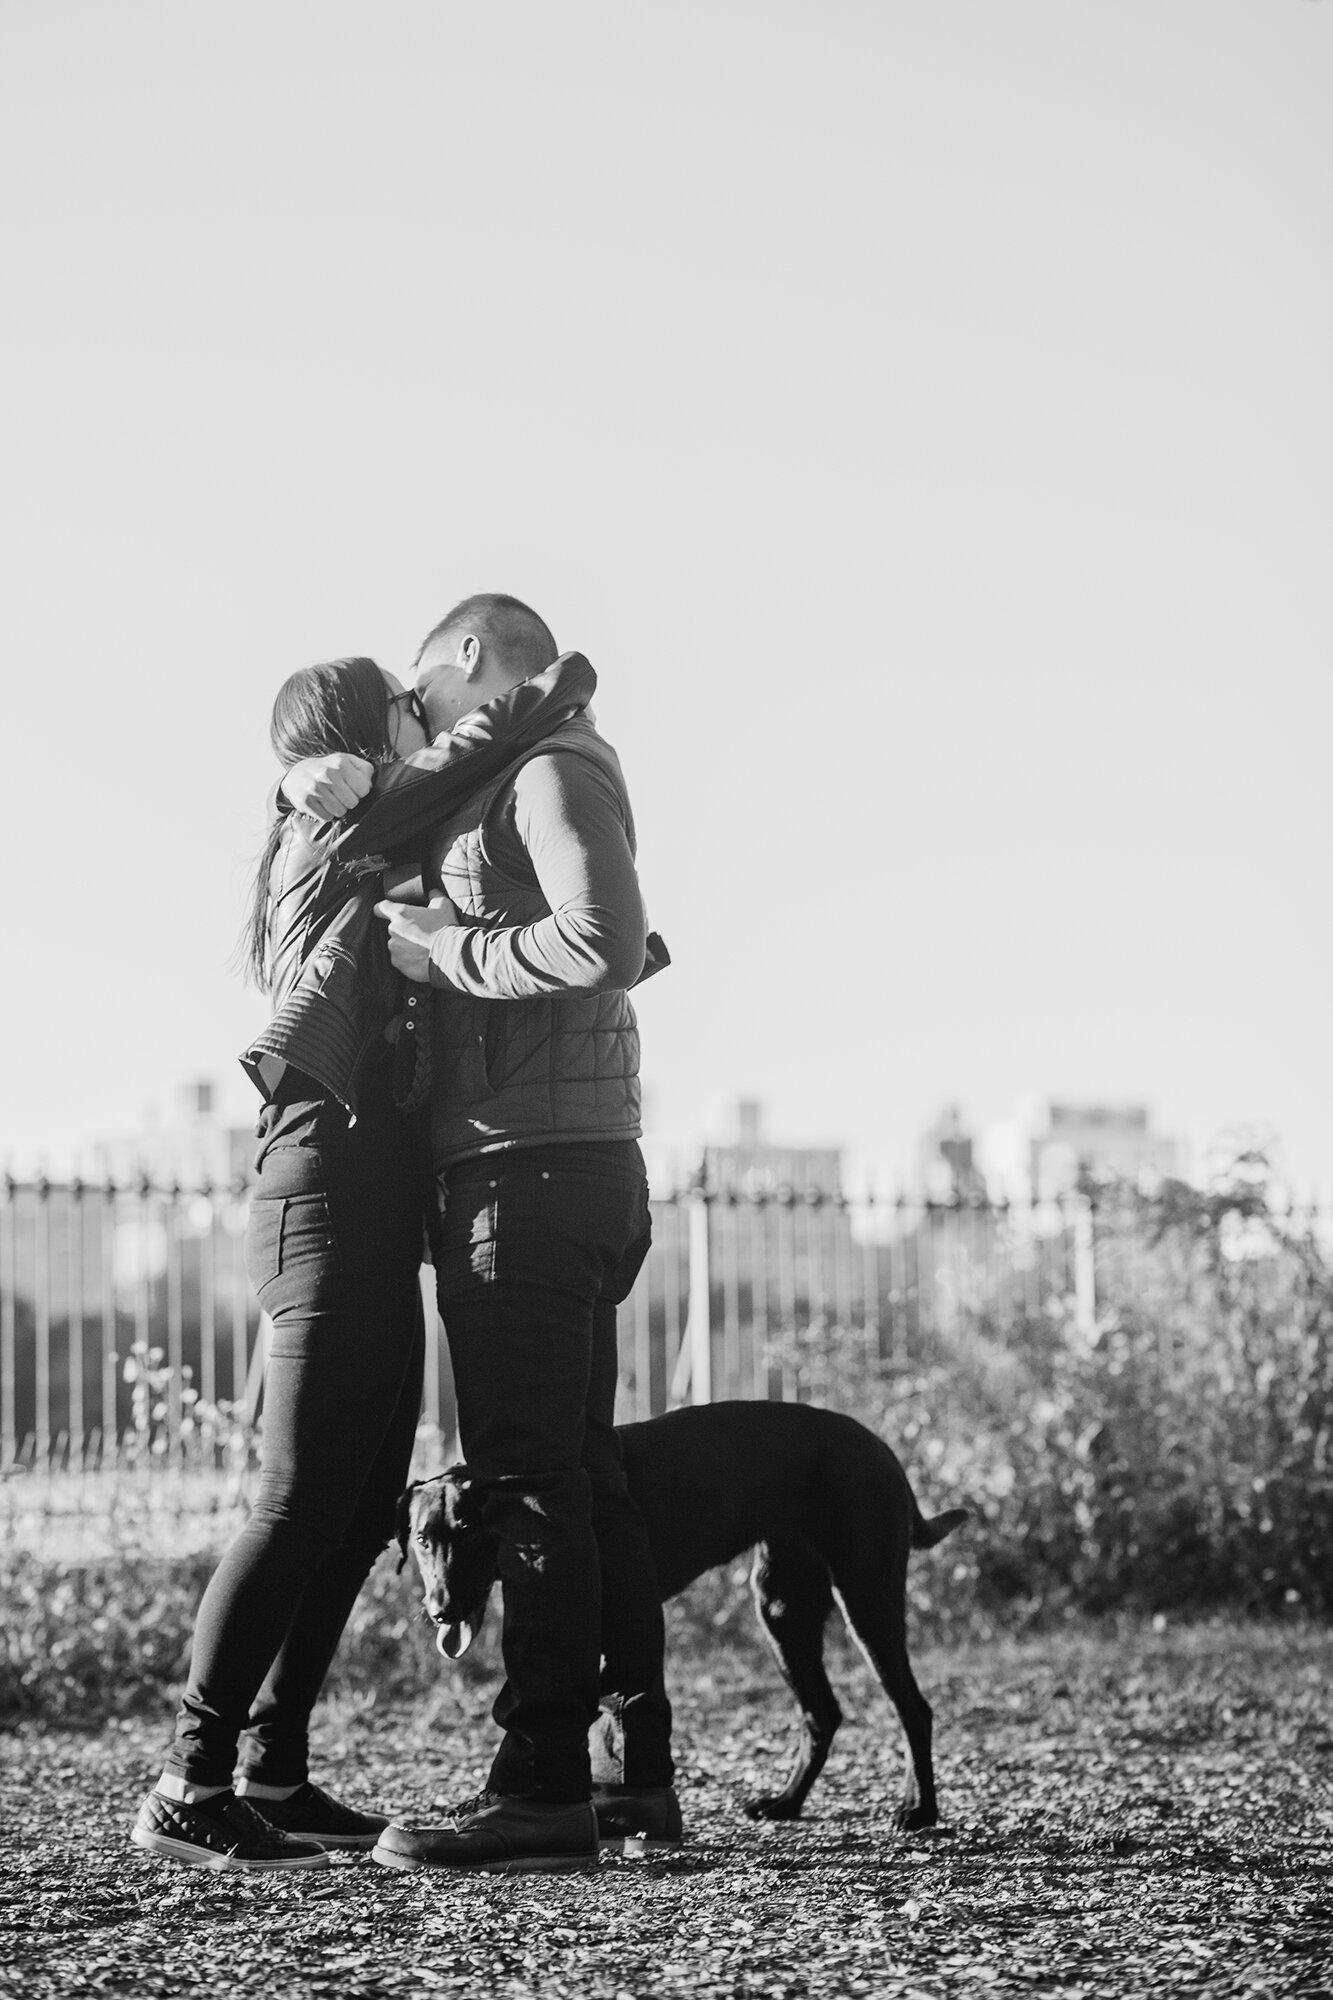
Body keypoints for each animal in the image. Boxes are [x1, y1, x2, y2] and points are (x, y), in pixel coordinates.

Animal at [394, 1400, 964, 1832]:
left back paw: (919, 1810)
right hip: (783, 1613)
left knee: (914, 1709)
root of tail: (878, 1446)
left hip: (867, 1601)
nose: (440, 1610)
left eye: (470, 1534)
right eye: (423, 1540)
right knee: (822, 1713)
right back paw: (787, 1803)